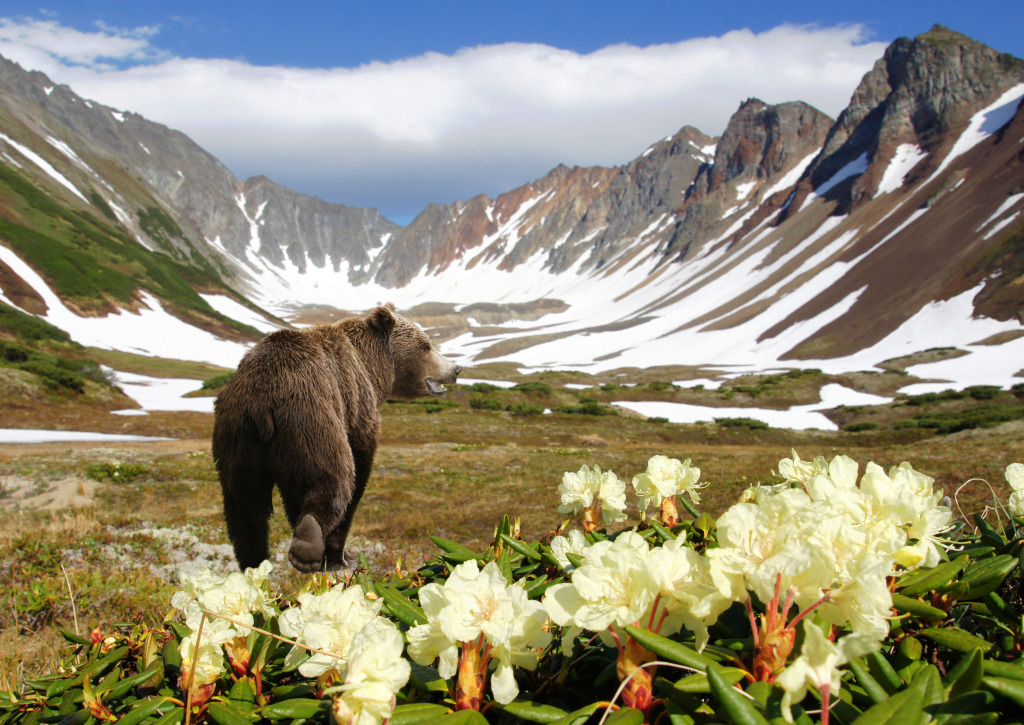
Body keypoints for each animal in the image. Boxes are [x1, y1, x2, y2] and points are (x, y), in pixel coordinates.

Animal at [214, 301, 462, 573]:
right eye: (426, 345)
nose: (456, 368)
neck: (375, 368)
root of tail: (263, 397)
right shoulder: (357, 405)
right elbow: (360, 465)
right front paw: (342, 556)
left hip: (237, 438)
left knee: (244, 508)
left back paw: (254, 563)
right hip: (311, 416)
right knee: (333, 476)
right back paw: (308, 546)